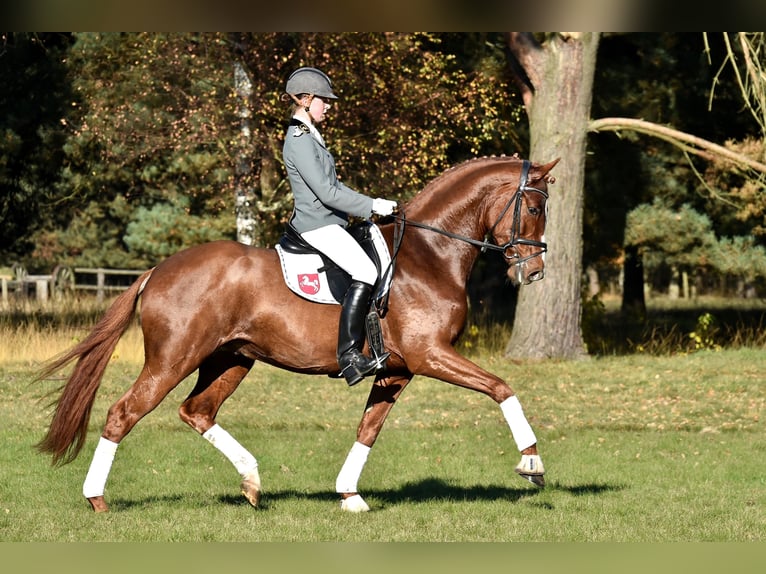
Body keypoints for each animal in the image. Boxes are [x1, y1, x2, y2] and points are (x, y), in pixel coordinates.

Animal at [36, 155, 560, 516]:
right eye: (534, 207)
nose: (534, 272)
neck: (428, 254)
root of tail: (158, 270)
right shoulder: (430, 355)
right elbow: (501, 387)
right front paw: (532, 463)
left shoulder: (398, 370)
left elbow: (368, 429)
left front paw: (349, 495)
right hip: (173, 359)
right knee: (124, 413)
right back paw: (97, 499)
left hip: (232, 359)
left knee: (196, 411)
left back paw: (251, 482)